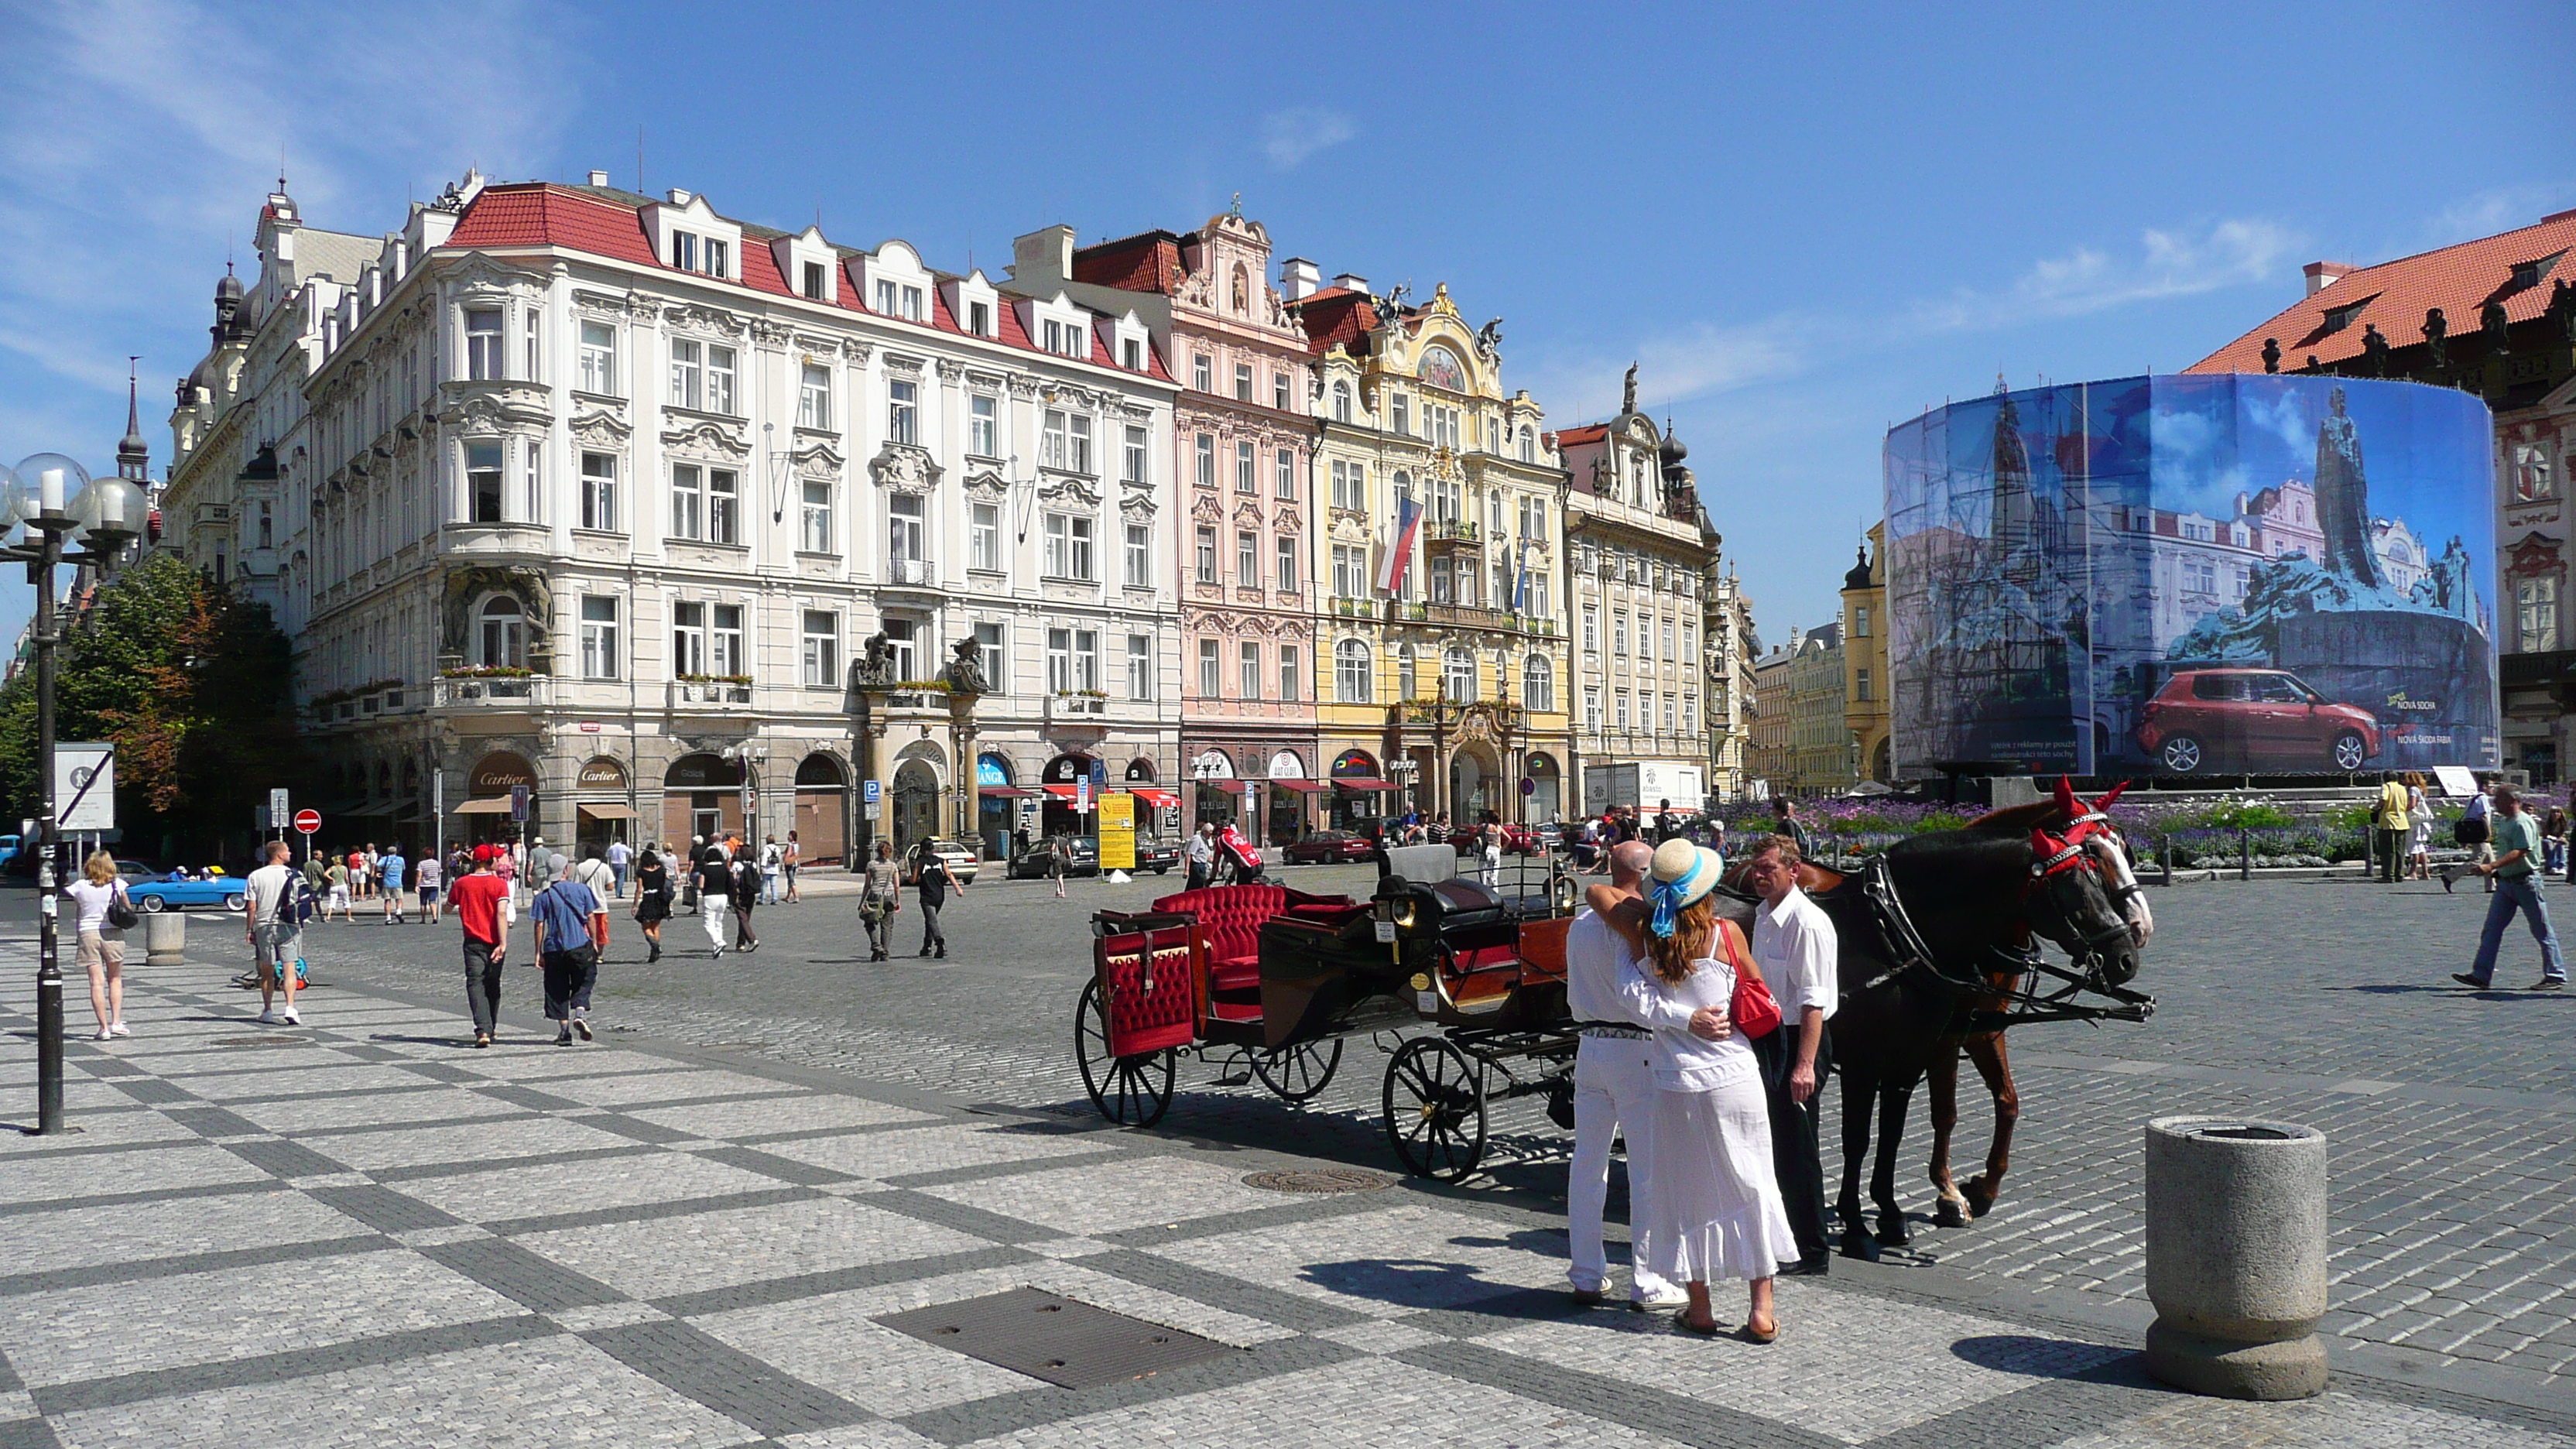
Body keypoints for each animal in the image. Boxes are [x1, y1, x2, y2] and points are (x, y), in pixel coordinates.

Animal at [1710, 824, 2153, 1252]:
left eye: (2107, 867)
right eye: (2073, 889)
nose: (2128, 956)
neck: (1889, 934)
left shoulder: (1917, 1054)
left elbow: (1896, 1131)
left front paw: (1892, 1214)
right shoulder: (1865, 1064)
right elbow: (1860, 1138)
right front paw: (1858, 1225)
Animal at [1937, 778, 2153, 1217]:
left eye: (2125, 847)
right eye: (2092, 853)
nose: (2140, 927)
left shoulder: (1983, 1028)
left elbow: (2008, 1101)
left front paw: (1985, 1187)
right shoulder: (1943, 1035)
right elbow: (1945, 1113)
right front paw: (1949, 1192)